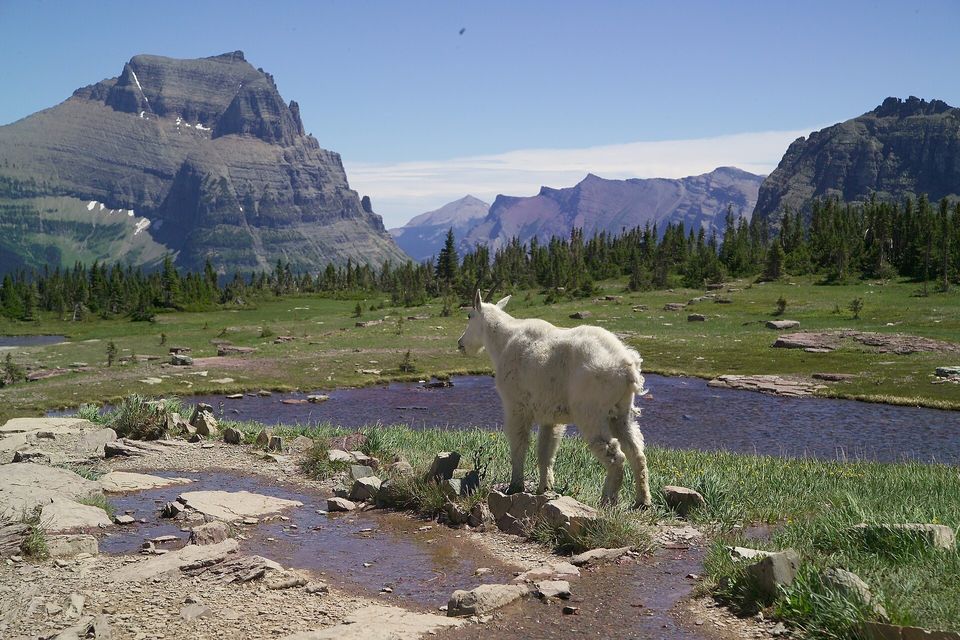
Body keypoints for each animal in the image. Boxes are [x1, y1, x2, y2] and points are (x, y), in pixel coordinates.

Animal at [458, 290, 652, 507]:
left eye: (469, 316)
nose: (460, 344)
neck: (503, 340)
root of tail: (628, 367)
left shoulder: (515, 406)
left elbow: (519, 445)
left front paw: (515, 486)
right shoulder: (550, 416)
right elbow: (546, 452)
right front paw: (544, 488)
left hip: (591, 412)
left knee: (615, 455)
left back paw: (607, 500)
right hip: (621, 412)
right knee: (636, 452)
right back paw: (642, 501)